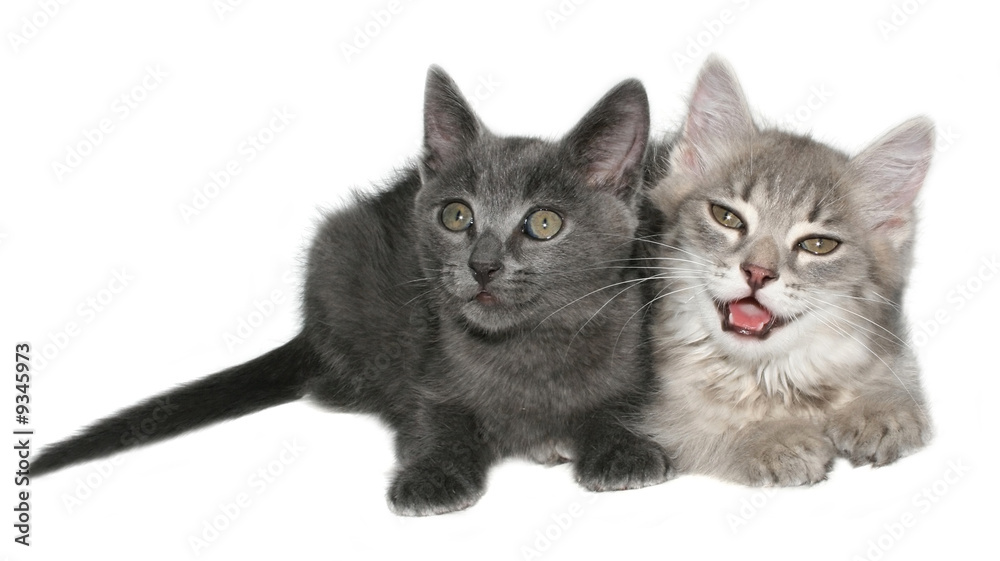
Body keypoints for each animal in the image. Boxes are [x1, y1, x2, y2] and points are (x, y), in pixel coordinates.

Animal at [644, 58, 932, 486]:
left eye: (818, 245)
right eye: (726, 217)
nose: (757, 272)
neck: (770, 375)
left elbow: (894, 380)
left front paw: (880, 406)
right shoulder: (656, 413)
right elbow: (703, 428)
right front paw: (771, 437)